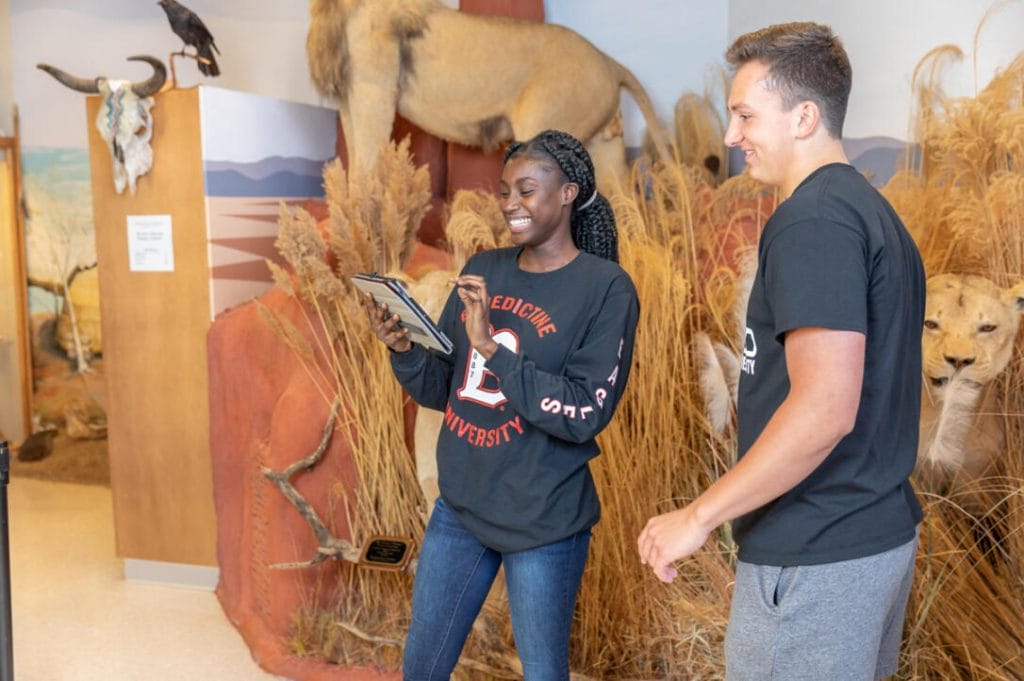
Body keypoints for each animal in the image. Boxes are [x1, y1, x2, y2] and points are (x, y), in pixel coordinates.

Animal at [303, 0, 671, 188]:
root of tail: (610, 62)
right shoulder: (348, 99)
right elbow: (353, 172)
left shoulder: (374, 92)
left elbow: (364, 176)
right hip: (604, 149)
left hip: (546, 130)